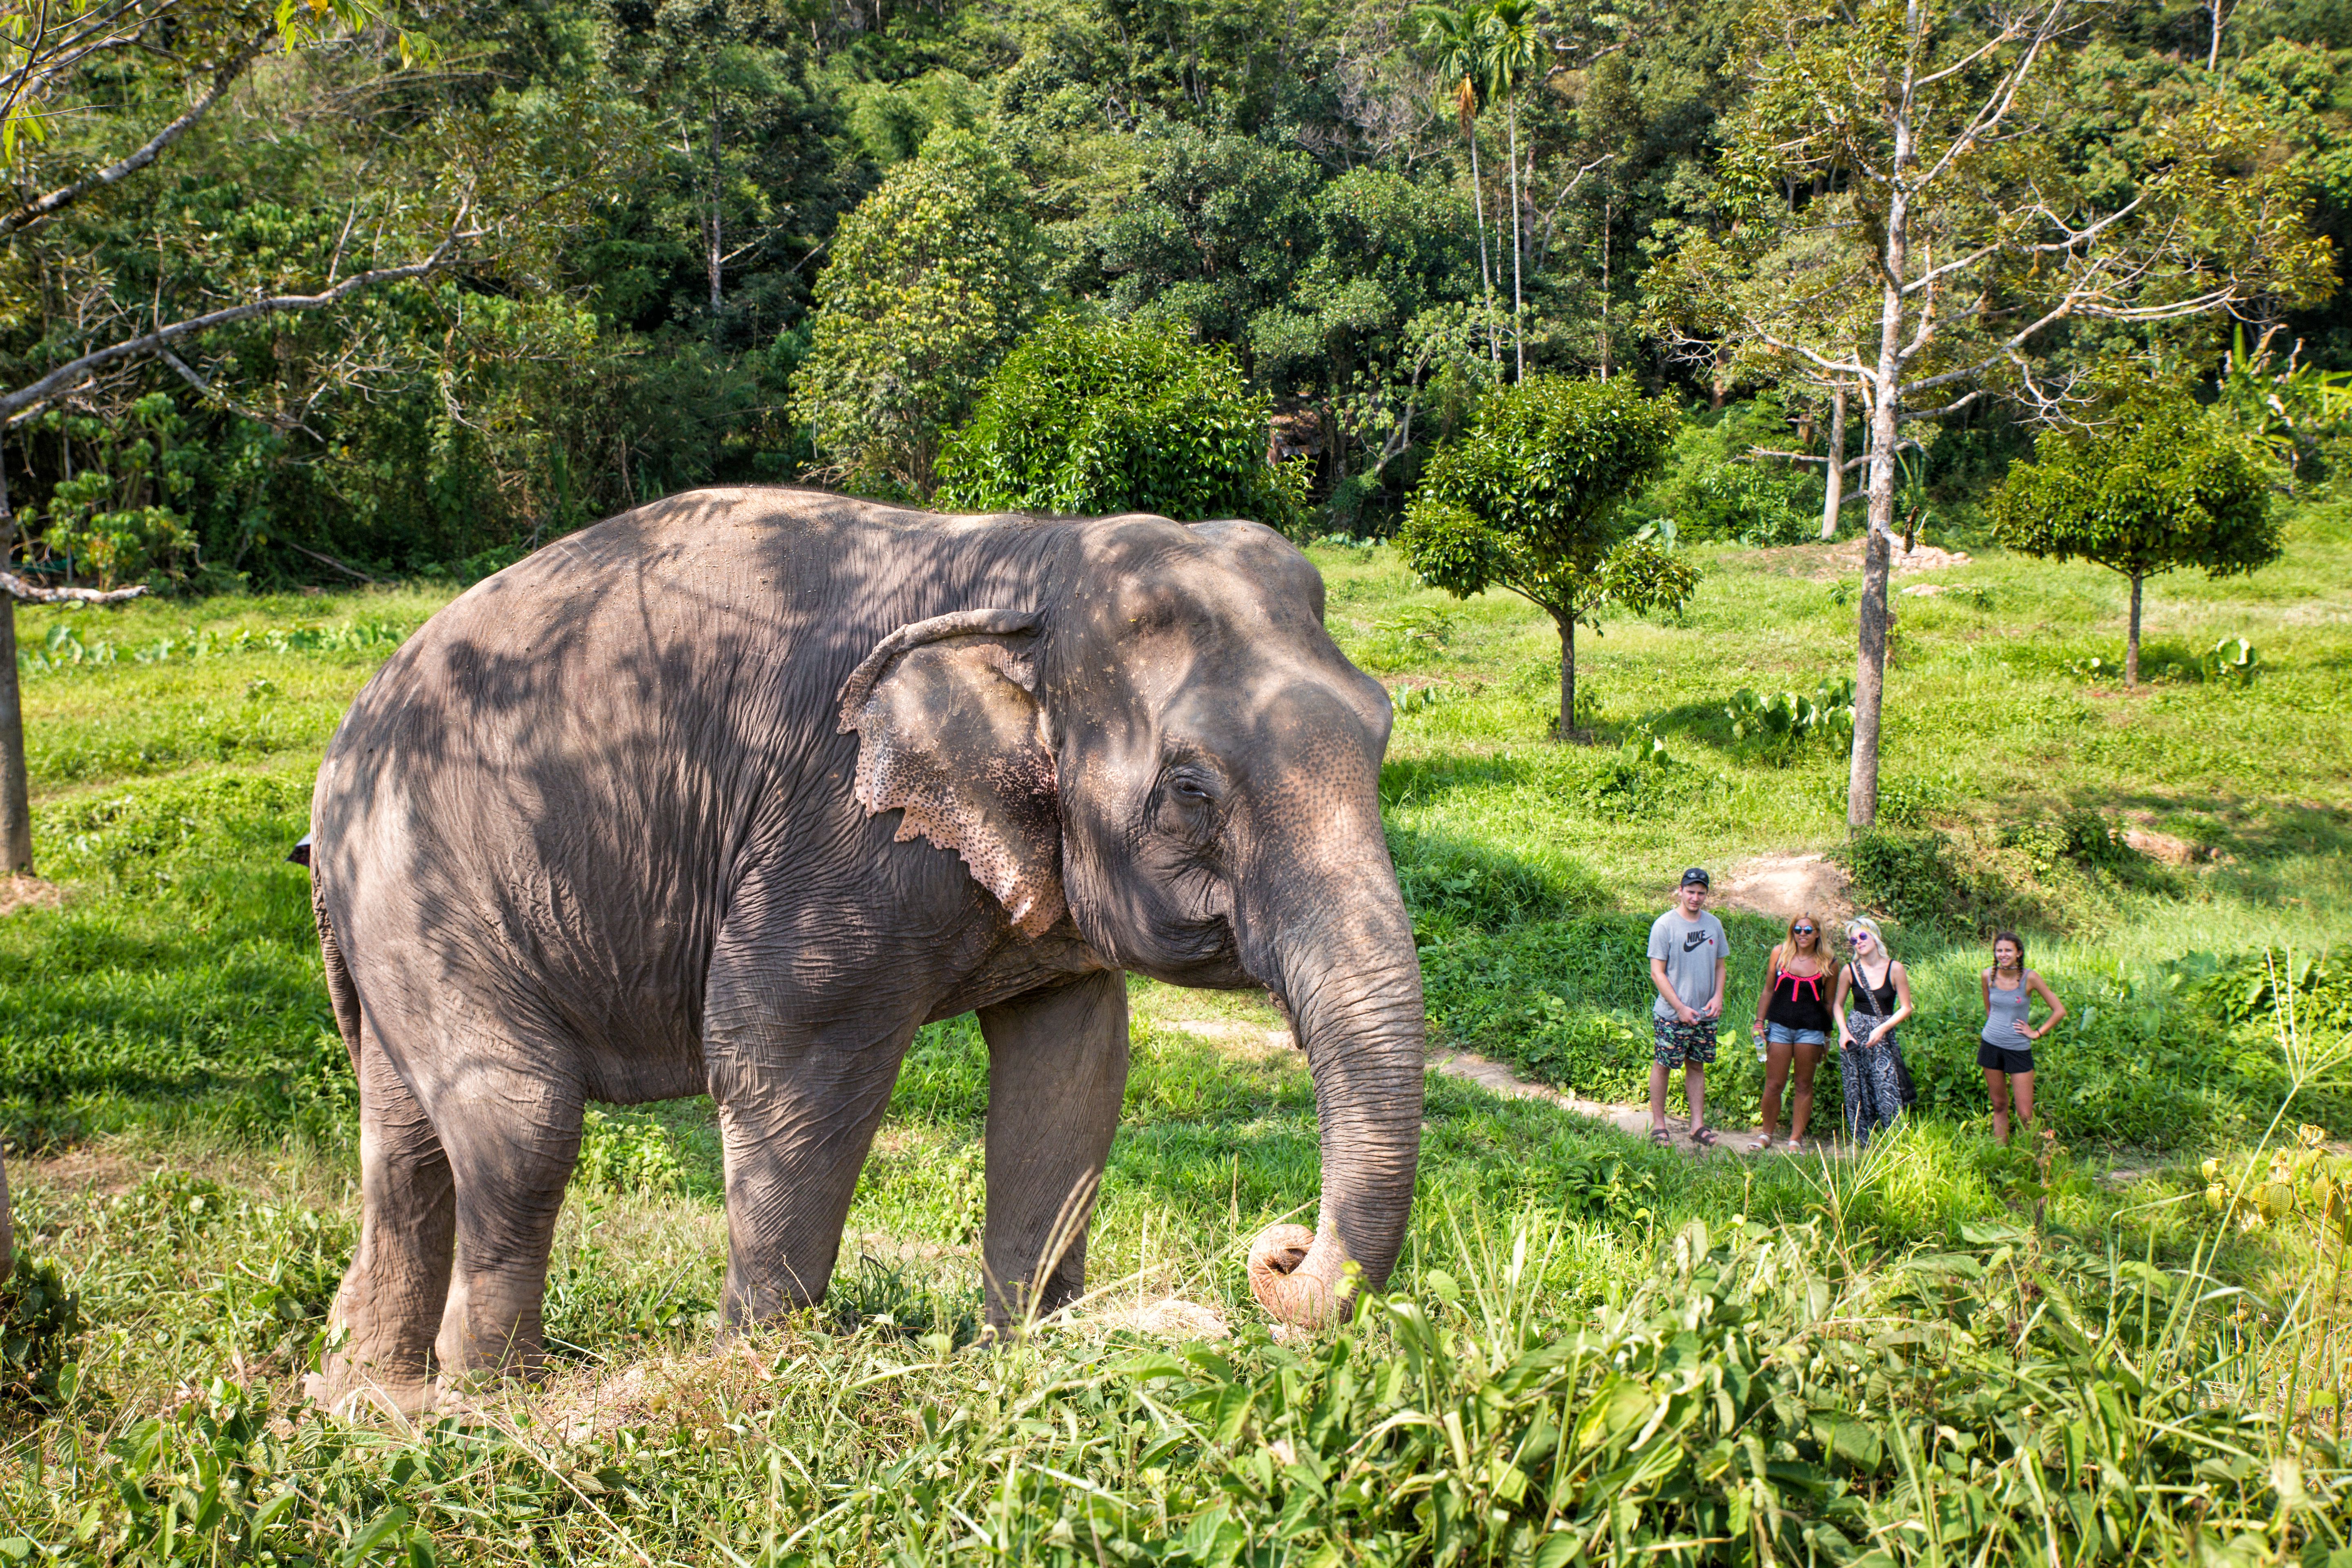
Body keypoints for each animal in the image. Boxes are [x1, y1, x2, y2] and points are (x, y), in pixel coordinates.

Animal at [301, 486, 1425, 1412]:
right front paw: (761, 1381)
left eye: (1382, 733)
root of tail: (340, 746)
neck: (1035, 563)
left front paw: (1026, 1361)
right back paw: (495, 1408)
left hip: (390, 902)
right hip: (423, 874)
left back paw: (370, 1399)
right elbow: (778, 1057)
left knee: (405, 1140)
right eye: (1192, 788)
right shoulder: (829, 831)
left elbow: (1074, 1066)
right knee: (520, 1123)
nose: (1282, 1251)